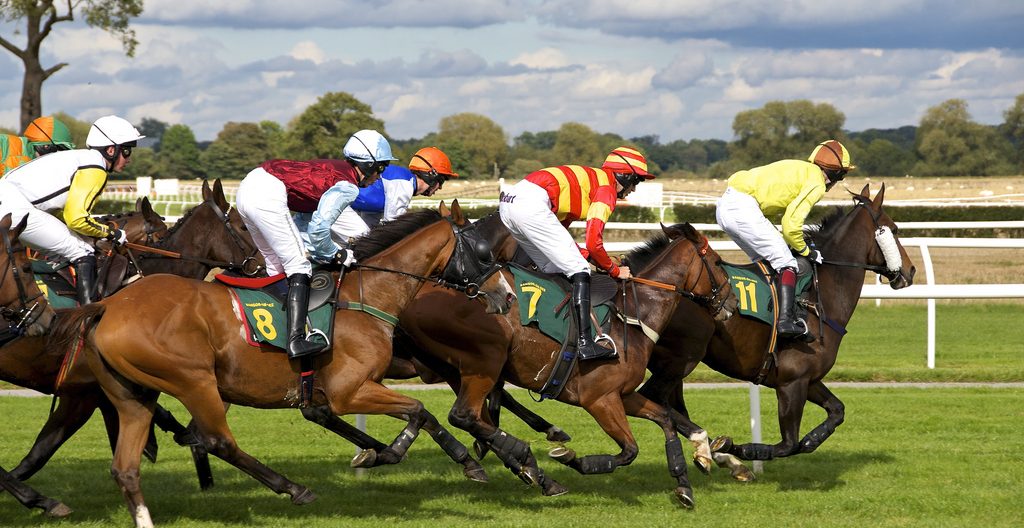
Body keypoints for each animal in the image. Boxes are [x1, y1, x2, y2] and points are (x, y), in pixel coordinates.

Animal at [48, 203, 512, 528]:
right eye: (484, 255)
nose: (506, 296)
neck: (369, 294)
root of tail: (106, 306)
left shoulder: (339, 394)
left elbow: (421, 415)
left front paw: (446, 458)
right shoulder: (349, 391)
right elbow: (418, 410)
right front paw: (405, 452)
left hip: (134, 396)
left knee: (126, 469)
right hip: (195, 381)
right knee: (215, 441)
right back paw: (293, 488)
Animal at [397, 220, 737, 507]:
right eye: (718, 263)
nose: (732, 304)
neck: (631, 316)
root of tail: (421, 291)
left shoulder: (622, 395)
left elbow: (665, 419)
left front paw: (684, 483)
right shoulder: (600, 400)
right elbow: (630, 450)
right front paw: (572, 458)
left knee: (477, 415)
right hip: (485, 360)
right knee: (464, 415)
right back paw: (524, 457)